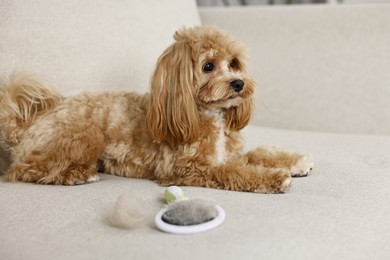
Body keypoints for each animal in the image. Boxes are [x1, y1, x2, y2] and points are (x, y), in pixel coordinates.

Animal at [0, 25, 312, 193]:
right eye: (208, 66)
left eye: (234, 63)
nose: (239, 83)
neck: (204, 114)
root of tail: (27, 126)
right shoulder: (188, 169)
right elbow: (234, 171)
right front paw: (275, 177)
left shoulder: (230, 151)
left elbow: (255, 154)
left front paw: (295, 161)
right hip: (85, 135)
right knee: (25, 170)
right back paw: (76, 175)